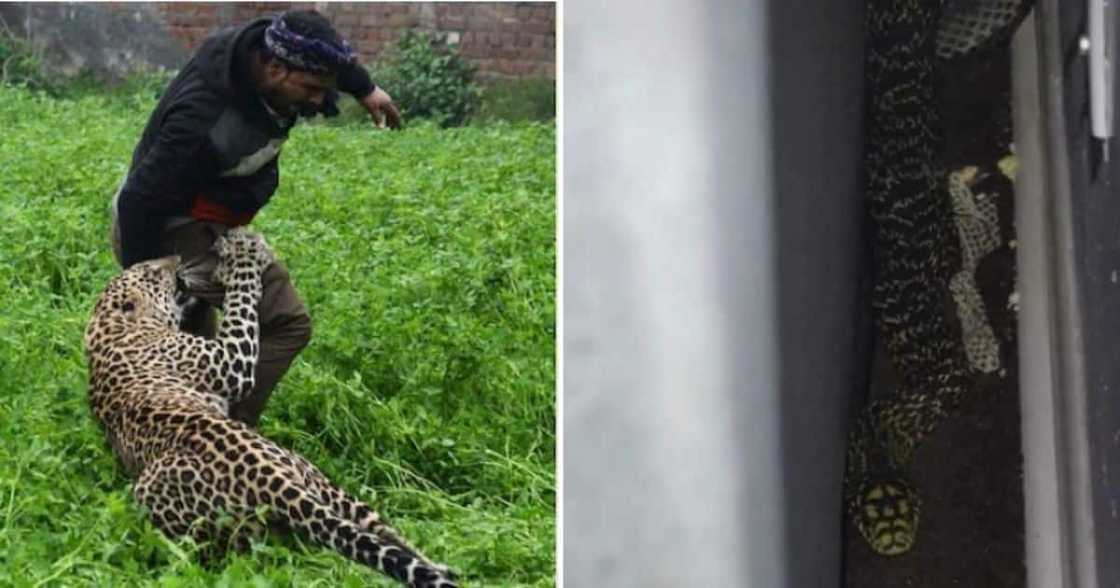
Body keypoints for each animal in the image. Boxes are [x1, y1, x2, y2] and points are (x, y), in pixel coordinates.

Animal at [83, 227, 458, 587]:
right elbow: (241, 301)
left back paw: (440, 564)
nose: (175, 259)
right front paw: (244, 257)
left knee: (383, 534)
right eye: (150, 272)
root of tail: (274, 483)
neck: (111, 326)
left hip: (319, 482)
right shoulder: (229, 361)